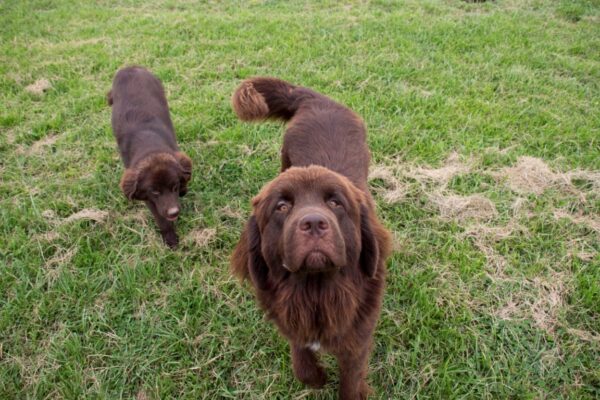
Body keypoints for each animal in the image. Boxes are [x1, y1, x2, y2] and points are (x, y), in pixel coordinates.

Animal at [108, 65, 192, 247]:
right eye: (155, 192)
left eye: (174, 187)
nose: (174, 212)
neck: (150, 146)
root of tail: (129, 67)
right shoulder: (148, 197)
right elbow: (161, 219)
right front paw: (170, 239)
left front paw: (183, 189)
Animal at [231, 76, 394, 398]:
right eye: (282, 206)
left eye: (336, 203)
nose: (314, 223)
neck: (317, 292)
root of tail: (316, 99)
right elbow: (301, 362)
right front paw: (317, 376)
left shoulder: (358, 340)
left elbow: (350, 382)